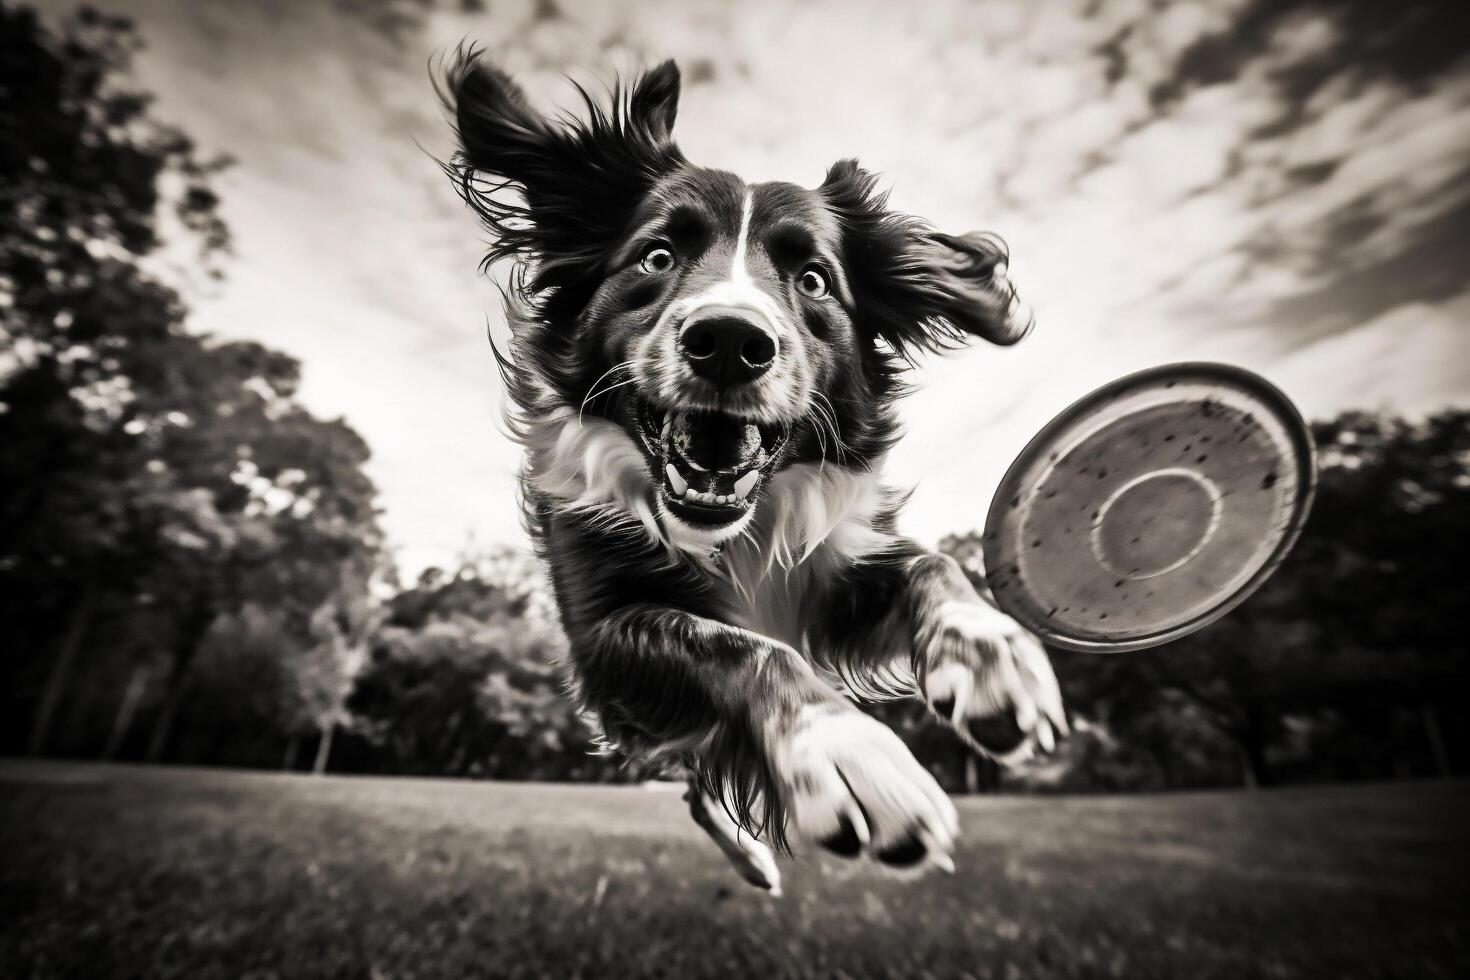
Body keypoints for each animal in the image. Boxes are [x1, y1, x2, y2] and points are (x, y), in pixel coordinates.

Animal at [438, 49, 1070, 899]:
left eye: (814, 279)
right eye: (658, 256)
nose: (731, 342)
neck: (730, 531)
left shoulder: (828, 568)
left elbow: (931, 562)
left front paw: (989, 649)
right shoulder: (604, 629)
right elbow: (738, 648)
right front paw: (846, 752)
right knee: (696, 776)